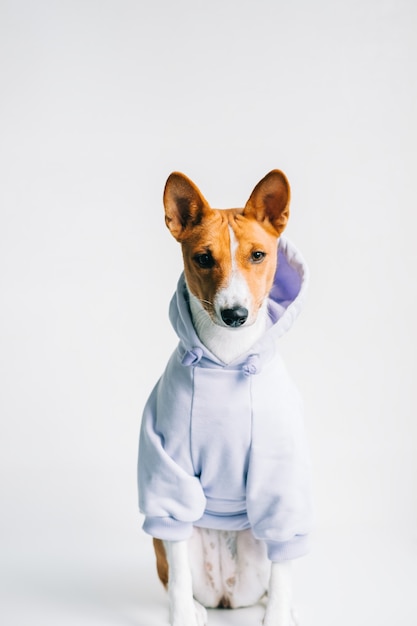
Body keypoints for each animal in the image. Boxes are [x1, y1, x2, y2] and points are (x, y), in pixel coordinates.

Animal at [137, 168, 312, 620]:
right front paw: (182, 618)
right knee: (176, 570)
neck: (228, 358)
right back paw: (194, 609)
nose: (235, 314)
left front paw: (278, 619)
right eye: (203, 258)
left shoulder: (280, 475)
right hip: (171, 539)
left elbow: (284, 569)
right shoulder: (169, 465)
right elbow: (179, 572)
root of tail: (226, 594)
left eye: (258, 255)